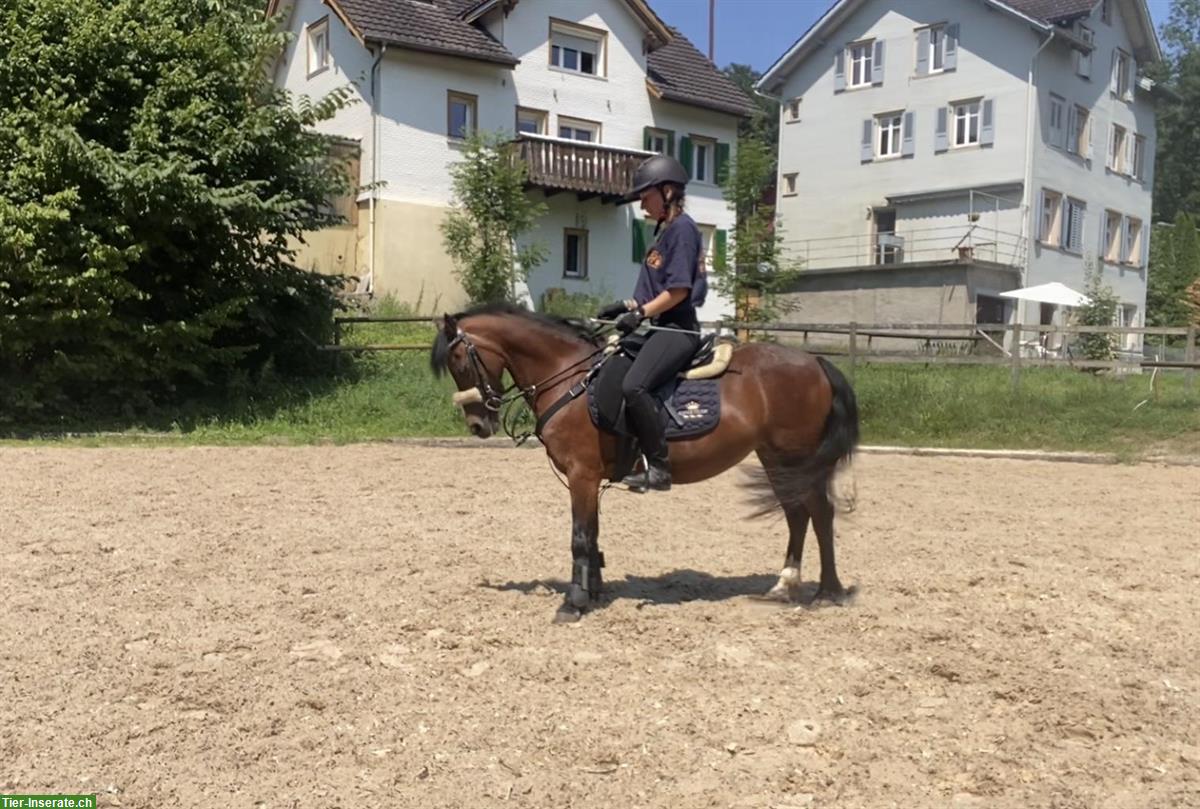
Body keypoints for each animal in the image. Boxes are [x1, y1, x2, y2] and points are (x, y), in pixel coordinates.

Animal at [432, 302, 864, 624]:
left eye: (460, 360)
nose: (477, 425)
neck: (568, 379)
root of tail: (816, 362)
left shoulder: (582, 475)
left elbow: (579, 538)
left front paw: (573, 603)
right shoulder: (590, 479)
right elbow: (593, 533)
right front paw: (594, 591)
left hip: (797, 455)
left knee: (819, 513)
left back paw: (828, 591)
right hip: (776, 458)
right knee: (797, 513)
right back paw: (784, 585)